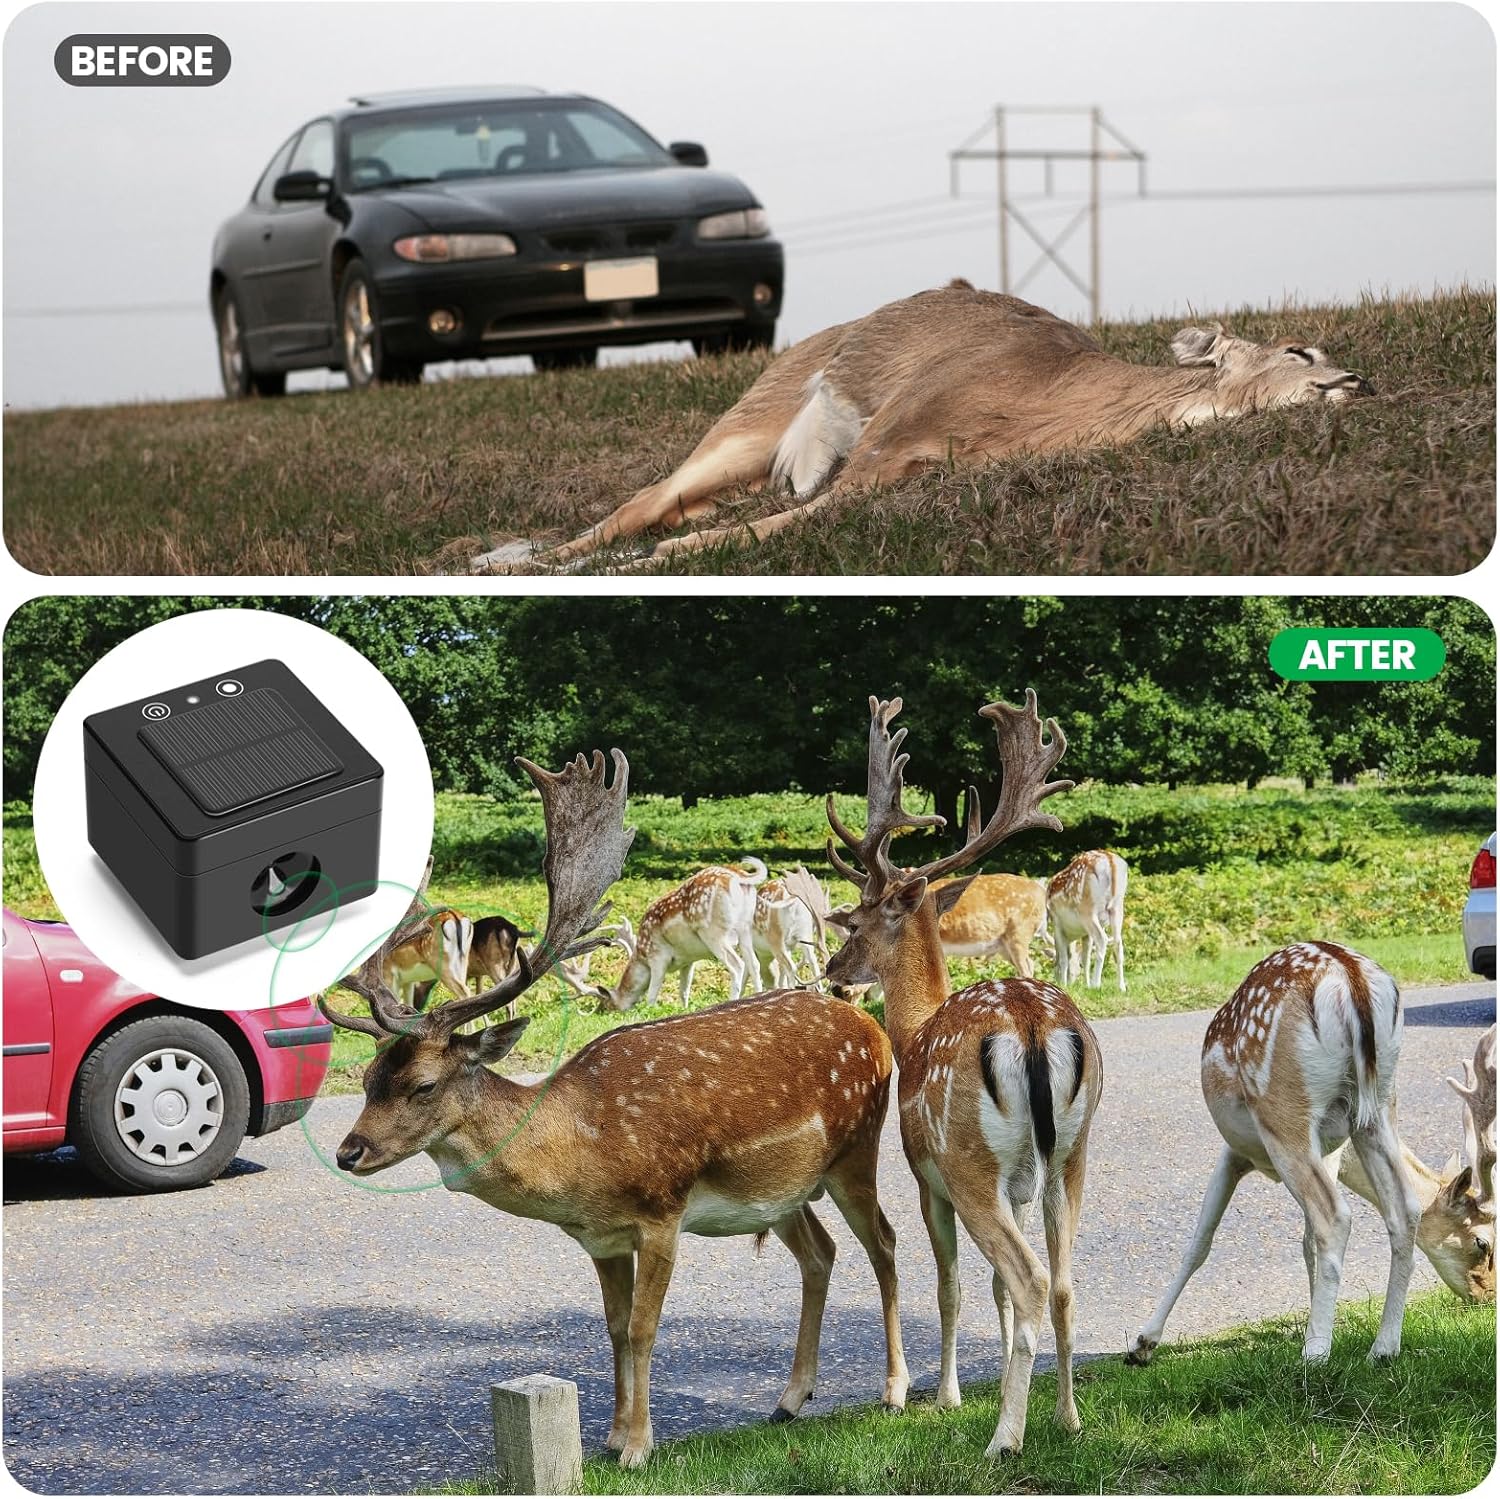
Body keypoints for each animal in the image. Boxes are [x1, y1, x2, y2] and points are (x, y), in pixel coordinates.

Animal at [470, 278, 1375, 573]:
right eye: (1300, 348)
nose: (1359, 382)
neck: (1044, 404)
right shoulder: (886, 442)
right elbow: (756, 531)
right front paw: (654, 563)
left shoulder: (908, 469)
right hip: (754, 413)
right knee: (642, 501)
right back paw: (518, 560)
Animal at [590, 860, 770, 1009]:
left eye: (606, 1004)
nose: (600, 1012)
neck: (642, 955)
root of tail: (740, 877)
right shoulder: (688, 960)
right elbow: (684, 990)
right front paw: (683, 1009)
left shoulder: (658, 956)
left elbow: (652, 993)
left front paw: (649, 1010)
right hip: (745, 927)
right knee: (754, 964)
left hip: (713, 932)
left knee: (737, 964)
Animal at [822, 691, 1103, 1458]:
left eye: (856, 921)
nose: (832, 971)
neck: (913, 1031)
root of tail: (1032, 1026)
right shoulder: (1019, 1182)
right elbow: (995, 1289)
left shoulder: (928, 1176)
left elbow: (950, 1284)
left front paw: (948, 1397)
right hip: (1072, 1153)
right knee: (1061, 1281)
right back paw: (1067, 1417)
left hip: (968, 1158)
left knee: (1030, 1276)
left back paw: (1005, 1436)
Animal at [1045, 850, 1128, 991]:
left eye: (1053, 966)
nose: (1059, 981)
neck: (1072, 935)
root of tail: (1109, 860)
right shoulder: (1086, 934)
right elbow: (1085, 959)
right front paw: (1086, 985)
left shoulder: (1057, 923)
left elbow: (1064, 958)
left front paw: (1065, 985)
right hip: (1117, 907)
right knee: (1118, 942)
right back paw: (1121, 987)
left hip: (1087, 909)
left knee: (1102, 939)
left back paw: (1096, 984)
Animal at [1126, 943, 1495, 1371]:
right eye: (1483, 1243)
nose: (1487, 1298)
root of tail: (1352, 977)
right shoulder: (1331, 1150)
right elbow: (1297, 1240)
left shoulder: (1238, 1151)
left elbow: (1201, 1242)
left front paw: (1143, 1342)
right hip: (1378, 1107)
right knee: (1405, 1210)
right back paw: (1383, 1348)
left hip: (1285, 1113)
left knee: (1333, 1217)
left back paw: (1315, 1353)